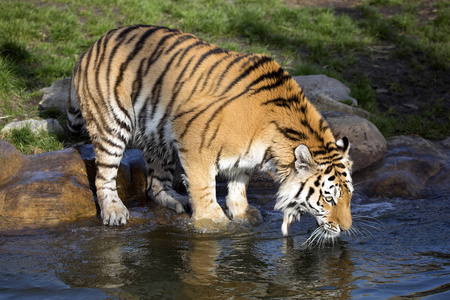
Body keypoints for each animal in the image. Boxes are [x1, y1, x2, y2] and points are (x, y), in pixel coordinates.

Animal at [67, 24, 356, 239]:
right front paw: (214, 224)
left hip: (159, 136)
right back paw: (114, 211)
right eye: (329, 199)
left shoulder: (245, 159)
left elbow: (239, 185)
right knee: (104, 176)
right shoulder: (194, 142)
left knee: (155, 185)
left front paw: (242, 214)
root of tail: (94, 44)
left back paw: (177, 200)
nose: (345, 228)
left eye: (348, 197)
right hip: (112, 125)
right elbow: (204, 188)